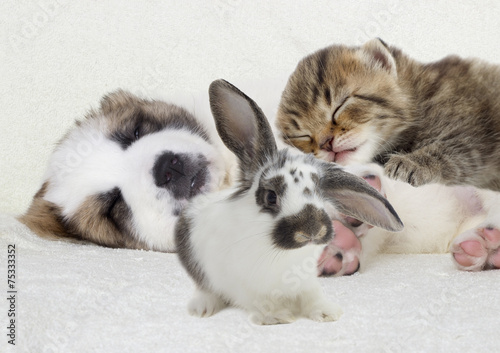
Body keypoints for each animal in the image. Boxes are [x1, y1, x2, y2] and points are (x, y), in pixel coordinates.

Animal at [174, 80, 404, 324]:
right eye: (270, 196)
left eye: (320, 194)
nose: (311, 230)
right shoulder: (245, 285)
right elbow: (260, 302)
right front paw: (277, 317)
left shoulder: (307, 282)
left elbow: (312, 297)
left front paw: (327, 313)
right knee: (205, 287)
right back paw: (201, 308)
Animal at [276, 38, 500, 191]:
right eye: (303, 135)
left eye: (340, 105)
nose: (325, 144)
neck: (422, 92)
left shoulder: (472, 136)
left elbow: (450, 150)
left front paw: (412, 163)